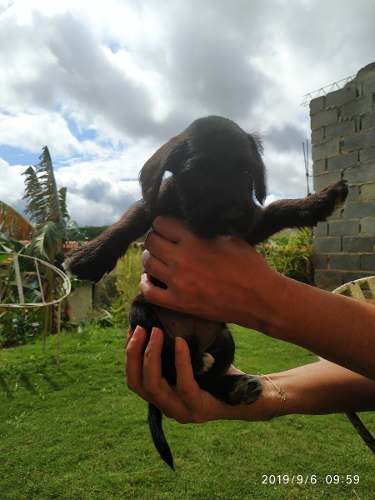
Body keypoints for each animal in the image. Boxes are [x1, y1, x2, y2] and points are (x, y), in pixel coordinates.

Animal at [65, 116, 350, 468]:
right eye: (198, 172)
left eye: (246, 172)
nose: (231, 214)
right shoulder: (158, 202)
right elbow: (128, 220)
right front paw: (90, 257)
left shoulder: (248, 229)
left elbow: (277, 208)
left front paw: (320, 201)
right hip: (143, 316)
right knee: (174, 367)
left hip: (225, 339)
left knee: (203, 380)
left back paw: (232, 386)